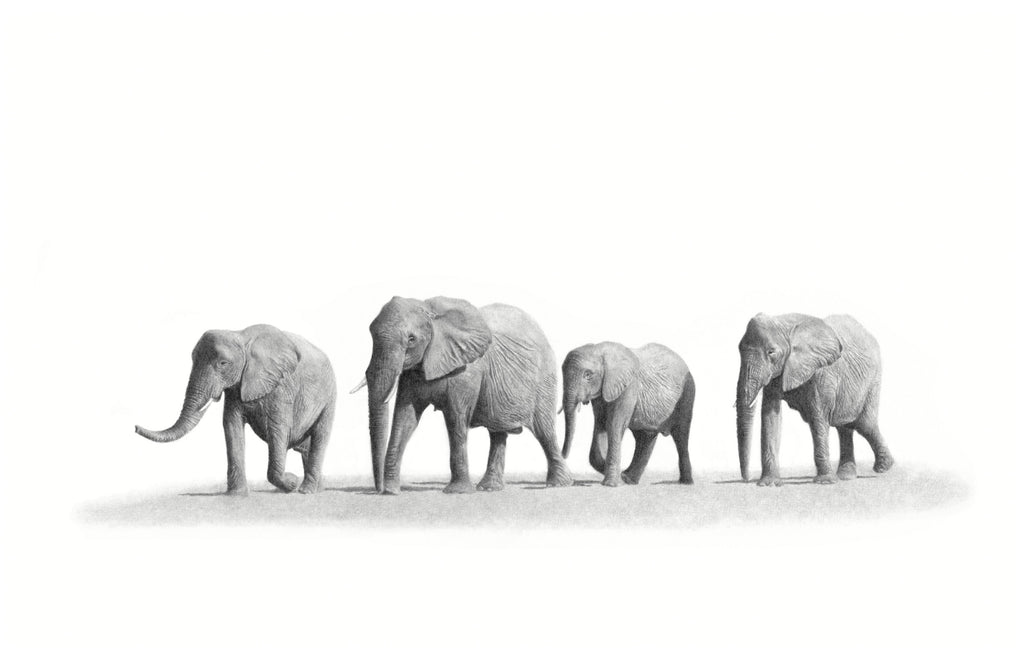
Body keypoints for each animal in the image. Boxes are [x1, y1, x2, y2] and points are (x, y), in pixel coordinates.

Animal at [133, 323, 335, 495]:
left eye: (223, 363)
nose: (134, 427)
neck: (240, 337)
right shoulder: (235, 389)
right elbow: (231, 425)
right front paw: (237, 495)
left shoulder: (281, 385)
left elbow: (278, 429)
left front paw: (291, 482)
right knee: (306, 447)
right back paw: (315, 488)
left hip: (329, 397)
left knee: (319, 436)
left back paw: (306, 491)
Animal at [354, 299, 577, 495]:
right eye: (371, 334)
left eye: (411, 339)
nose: (378, 489)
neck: (431, 311)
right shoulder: (413, 372)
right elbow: (405, 418)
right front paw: (392, 492)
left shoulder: (466, 370)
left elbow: (456, 420)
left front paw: (457, 492)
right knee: (498, 433)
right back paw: (489, 488)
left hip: (544, 380)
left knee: (544, 430)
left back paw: (558, 484)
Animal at [561, 344, 696, 489]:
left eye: (588, 374)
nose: (563, 455)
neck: (600, 349)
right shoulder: (603, 392)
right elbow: (600, 424)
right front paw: (618, 475)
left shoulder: (629, 387)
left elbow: (614, 424)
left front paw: (611, 484)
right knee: (645, 437)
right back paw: (629, 479)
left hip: (686, 396)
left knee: (681, 436)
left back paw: (686, 483)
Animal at [737, 311, 897, 487]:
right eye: (739, 350)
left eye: (771, 352)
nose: (746, 479)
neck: (785, 323)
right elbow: (770, 416)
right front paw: (769, 484)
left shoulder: (821, 372)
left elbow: (817, 417)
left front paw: (825, 482)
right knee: (845, 426)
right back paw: (846, 476)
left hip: (872, 381)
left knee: (864, 423)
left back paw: (883, 467)